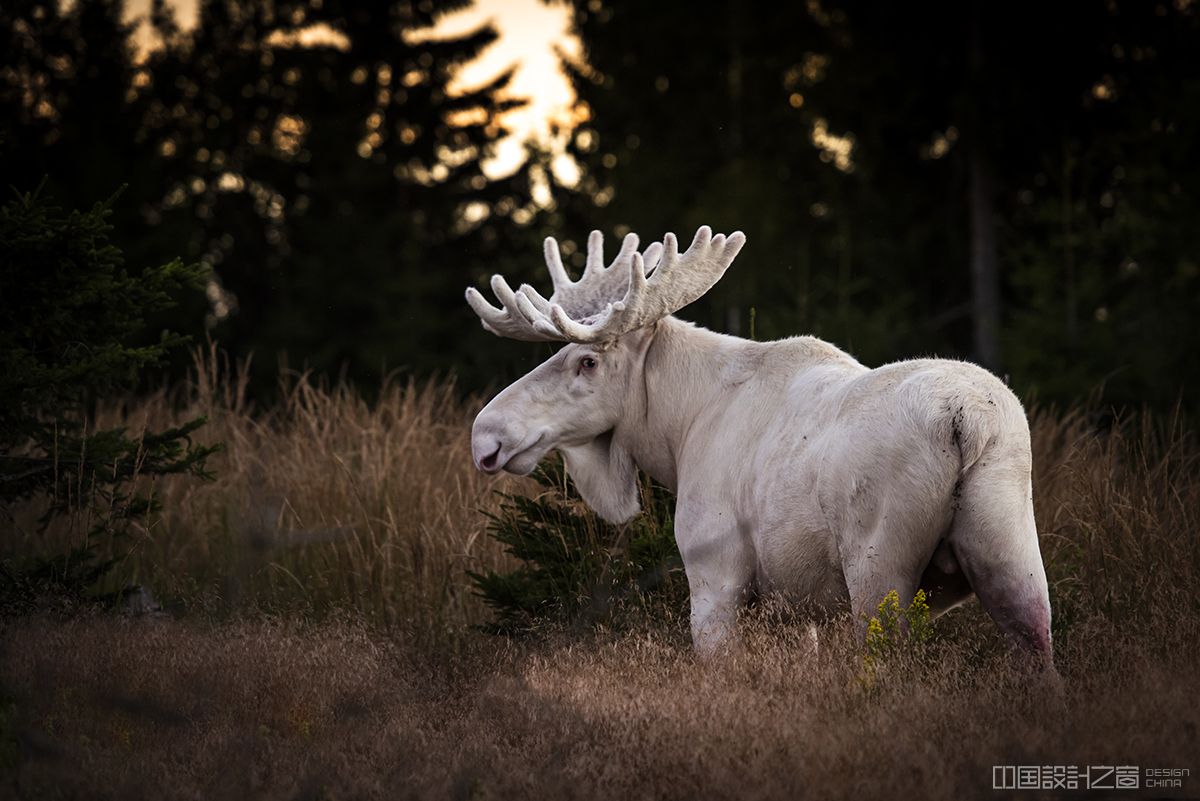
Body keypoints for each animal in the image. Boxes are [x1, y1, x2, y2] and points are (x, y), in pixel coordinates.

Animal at [465, 226, 1051, 661]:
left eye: (586, 361)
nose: (485, 435)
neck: (677, 432)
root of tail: (968, 421)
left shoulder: (715, 571)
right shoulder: (797, 604)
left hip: (879, 565)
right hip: (1012, 549)